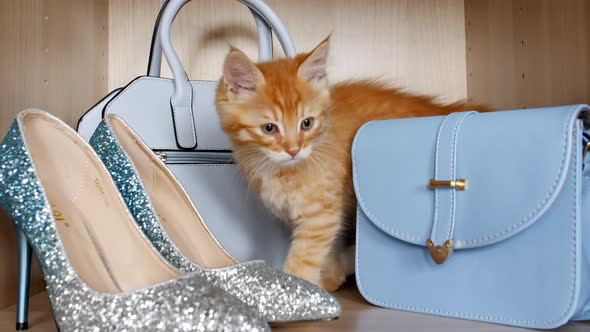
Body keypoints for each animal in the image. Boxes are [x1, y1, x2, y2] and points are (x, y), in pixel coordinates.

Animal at [217, 37, 490, 290]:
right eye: (269, 128)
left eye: (307, 123)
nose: (294, 150)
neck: (279, 170)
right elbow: (326, 252)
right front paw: (329, 281)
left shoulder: (320, 216)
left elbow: (304, 259)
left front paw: (299, 292)